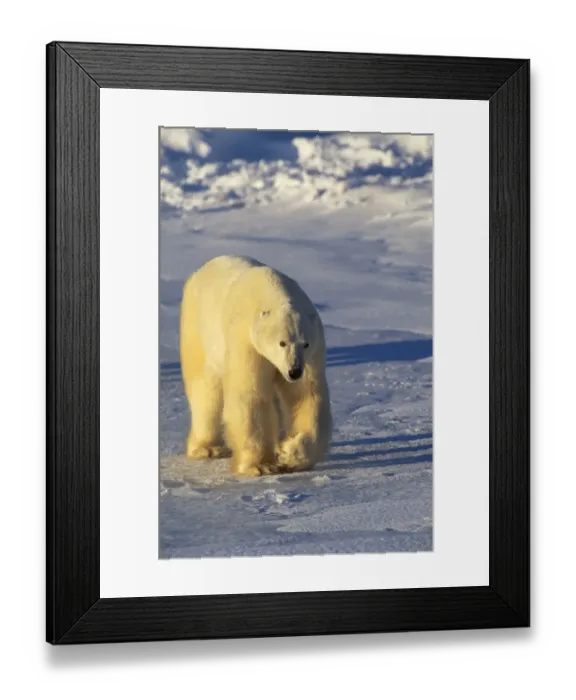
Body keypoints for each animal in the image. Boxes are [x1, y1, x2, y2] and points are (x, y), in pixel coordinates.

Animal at [179, 255, 332, 477]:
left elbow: (305, 395)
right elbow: (250, 394)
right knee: (206, 390)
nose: (294, 371)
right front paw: (260, 466)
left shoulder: (313, 353)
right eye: (282, 343)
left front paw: (291, 453)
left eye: (305, 343)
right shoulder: (246, 340)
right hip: (198, 329)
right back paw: (207, 448)